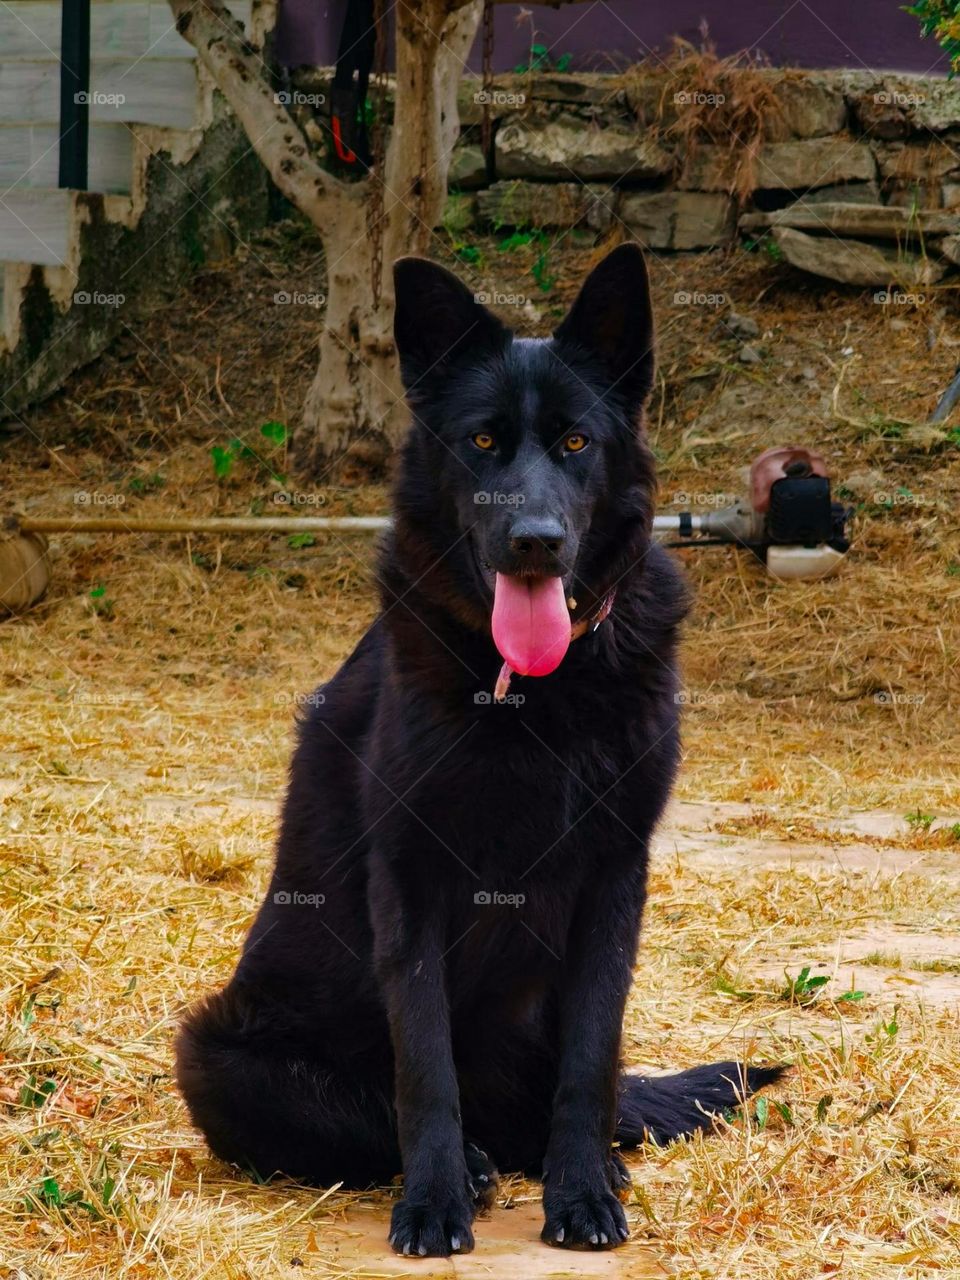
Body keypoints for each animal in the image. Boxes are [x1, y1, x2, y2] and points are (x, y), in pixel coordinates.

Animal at [179, 244, 783, 1254]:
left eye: (576, 445)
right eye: (485, 443)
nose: (534, 542)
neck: (533, 690)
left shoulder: (615, 878)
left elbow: (589, 1059)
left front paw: (582, 1194)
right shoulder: (410, 879)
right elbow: (424, 1068)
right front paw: (433, 1202)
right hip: (218, 1057)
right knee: (388, 1114)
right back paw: (468, 1167)